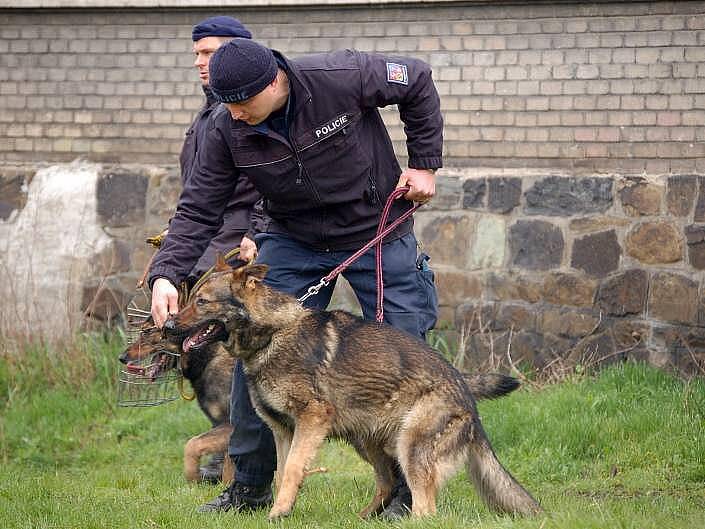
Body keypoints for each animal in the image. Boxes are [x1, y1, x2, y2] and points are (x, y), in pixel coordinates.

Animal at [118, 324, 234, 480]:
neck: (207, 358)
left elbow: (192, 444)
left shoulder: (232, 426)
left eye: (147, 331)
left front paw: (193, 476)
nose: (121, 358)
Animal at [168, 258, 540, 516]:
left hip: (410, 446)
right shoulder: (283, 431)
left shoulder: (311, 419)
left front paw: (279, 512)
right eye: (189, 299)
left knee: (425, 509)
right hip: (367, 441)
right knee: (387, 483)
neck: (272, 333)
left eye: (202, 302)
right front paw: (282, 509)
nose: (169, 324)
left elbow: (292, 469)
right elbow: (282, 472)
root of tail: (465, 394)